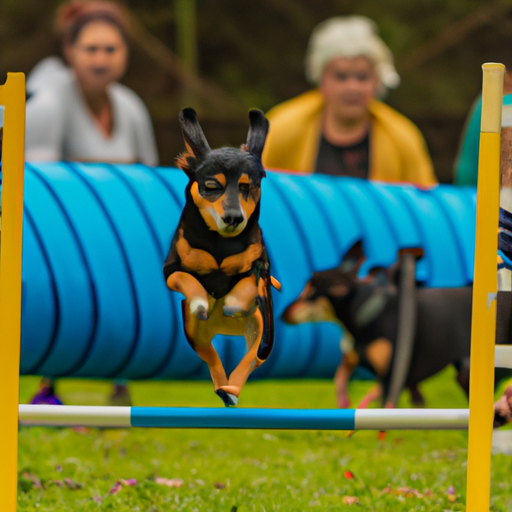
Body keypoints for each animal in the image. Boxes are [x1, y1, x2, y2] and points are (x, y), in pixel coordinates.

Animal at [163, 108, 276, 408]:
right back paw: (222, 385)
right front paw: (201, 300)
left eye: (248, 187)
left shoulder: (256, 270)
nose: (234, 217)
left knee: (249, 362)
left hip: (259, 330)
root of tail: (220, 327)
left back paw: (232, 388)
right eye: (212, 186)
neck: (220, 244)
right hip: (196, 335)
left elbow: (245, 286)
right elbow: (187, 279)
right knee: (213, 360)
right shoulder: (171, 270)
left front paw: (232, 301)